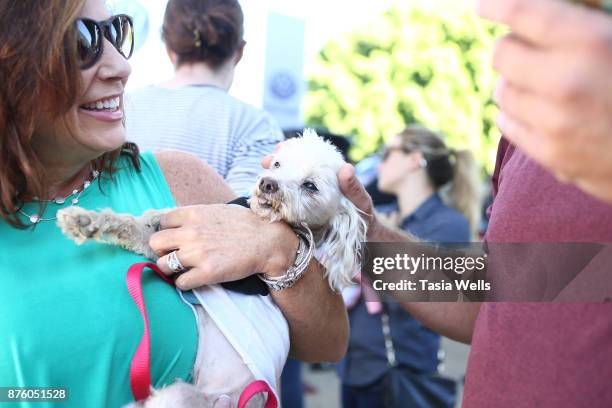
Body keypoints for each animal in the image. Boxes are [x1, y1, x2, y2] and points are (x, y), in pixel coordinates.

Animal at [57, 130, 366, 404]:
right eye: (278, 164)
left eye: (310, 186)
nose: (268, 183)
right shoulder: (163, 236)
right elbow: (134, 224)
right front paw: (84, 221)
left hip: (177, 398)